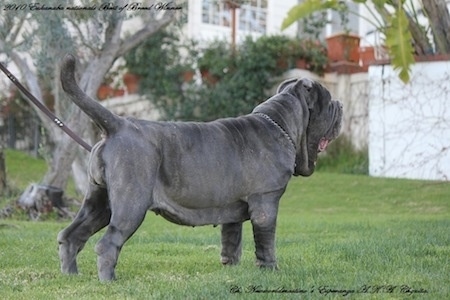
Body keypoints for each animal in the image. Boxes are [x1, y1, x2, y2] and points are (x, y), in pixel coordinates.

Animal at [58, 52, 342, 280]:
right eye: (328, 103)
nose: (340, 104)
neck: (279, 123)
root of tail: (117, 125)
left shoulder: (232, 208)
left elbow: (231, 241)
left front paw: (231, 268)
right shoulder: (266, 202)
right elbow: (266, 241)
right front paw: (270, 270)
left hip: (100, 202)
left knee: (71, 235)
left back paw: (71, 275)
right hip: (131, 203)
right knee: (107, 244)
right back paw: (109, 281)